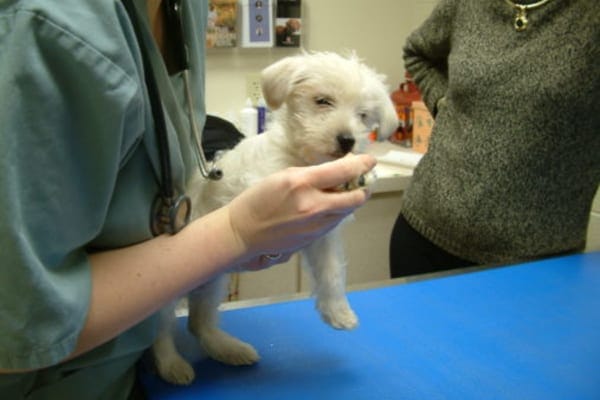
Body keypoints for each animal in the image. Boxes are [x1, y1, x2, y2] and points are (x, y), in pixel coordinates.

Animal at [152, 50, 400, 384]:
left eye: (363, 115)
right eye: (323, 101)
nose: (347, 140)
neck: (303, 159)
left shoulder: (322, 239)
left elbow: (331, 273)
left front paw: (337, 311)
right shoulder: (261, 184)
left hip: (213, 282)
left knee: (198, 323)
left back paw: (228, 349)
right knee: (159, 330)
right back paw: (171, 365)